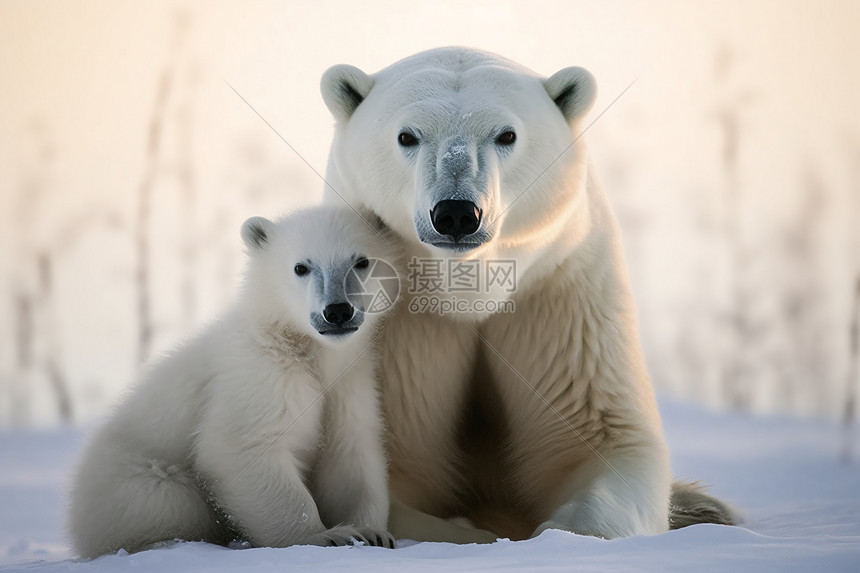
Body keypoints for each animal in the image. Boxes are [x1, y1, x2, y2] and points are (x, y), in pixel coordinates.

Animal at [320, 45, 732, 540]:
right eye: (407, 135)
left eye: (506, 134)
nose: (457, 212)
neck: (466, 288)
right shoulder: (393, 326)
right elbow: (385, 465)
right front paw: (468, 530)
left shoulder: (559, 294)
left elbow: (600, 438)